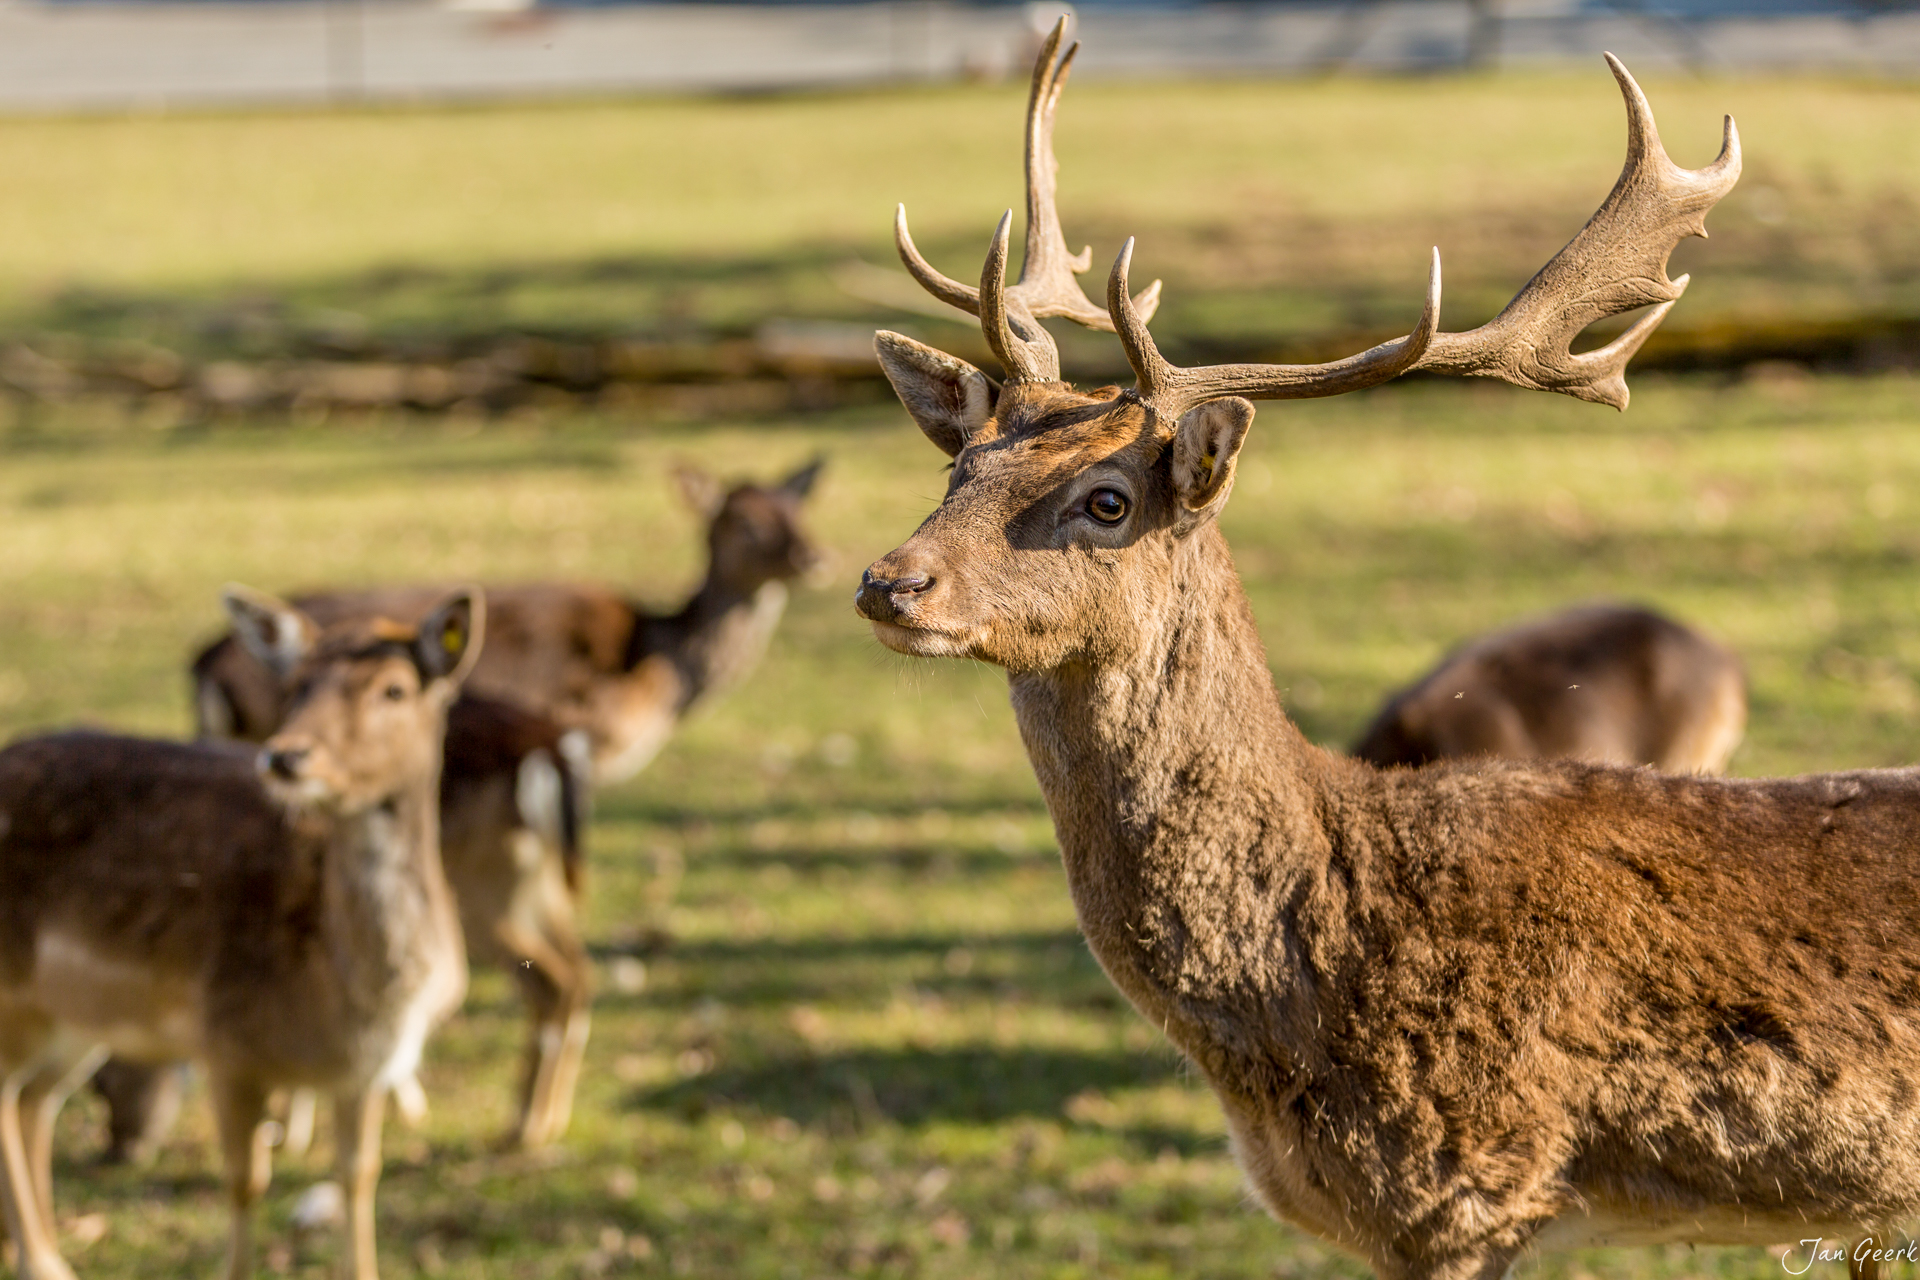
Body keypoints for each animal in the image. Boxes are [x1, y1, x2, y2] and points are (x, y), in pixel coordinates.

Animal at [0, 587, 476, 1280]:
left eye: (395, 689)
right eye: (297, 684)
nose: (286, 754)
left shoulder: (367, 1072)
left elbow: (360, 1175)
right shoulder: (224, 1042)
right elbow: (246, 1181)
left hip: (76, 1016)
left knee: (33, 1101)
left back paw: (51, 1260)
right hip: (15, 996)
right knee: (8, 1098)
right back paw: (40, 1259)